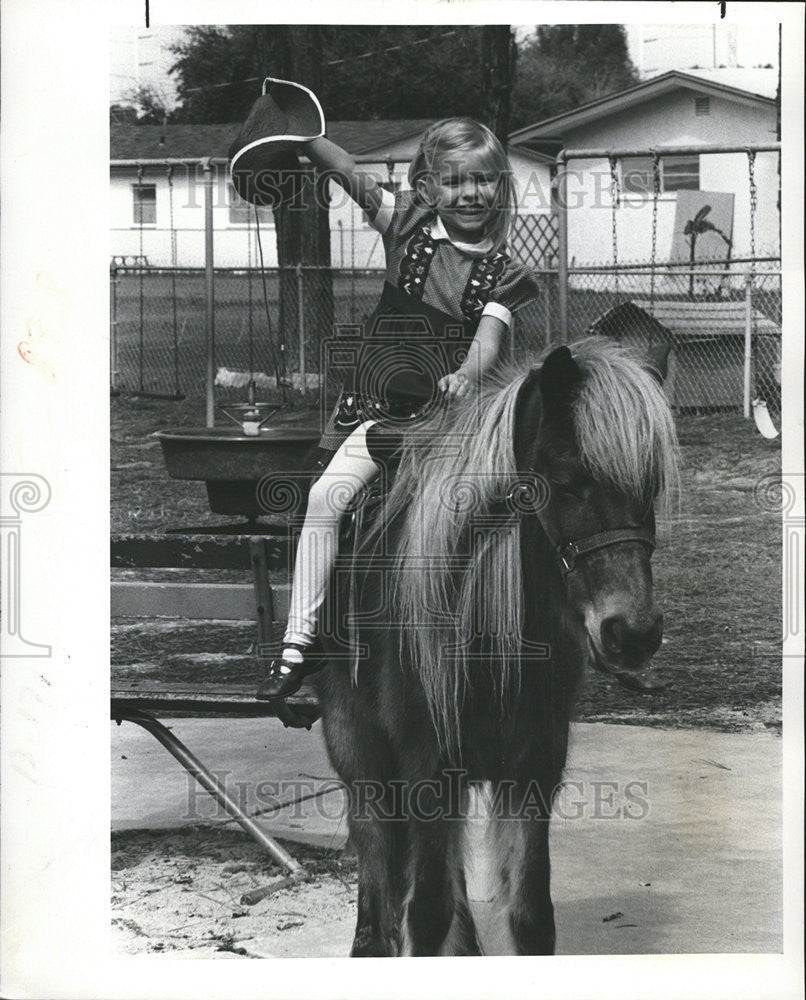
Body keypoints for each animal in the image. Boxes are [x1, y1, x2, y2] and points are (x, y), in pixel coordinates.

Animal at [312, 340, 680, 956]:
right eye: (565, 478)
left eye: (650, 485)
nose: (632, 633)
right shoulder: (428, 769)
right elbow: (427, 914)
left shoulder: (533, 769)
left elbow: (531, 918)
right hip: (354, 744)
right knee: (378, 872)